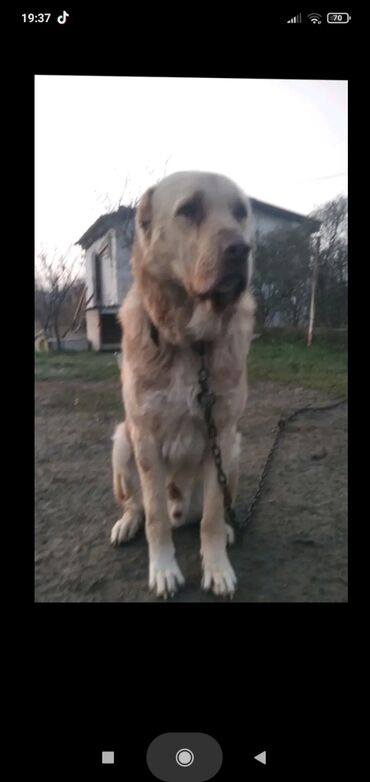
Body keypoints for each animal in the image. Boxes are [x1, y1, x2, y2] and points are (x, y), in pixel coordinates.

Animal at [110, 173, 256, 600]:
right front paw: (163, 570)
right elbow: (156, 516)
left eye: (241, 212)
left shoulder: (221, 433)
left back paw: (227, 530)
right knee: (139, 506)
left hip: (235, 448)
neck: (191, 342)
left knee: (213, 510)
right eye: (189, 209)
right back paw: (128, 522)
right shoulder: (144, 438)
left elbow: (211, 516)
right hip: (122, 441)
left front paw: (217, 568)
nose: (242, 250)